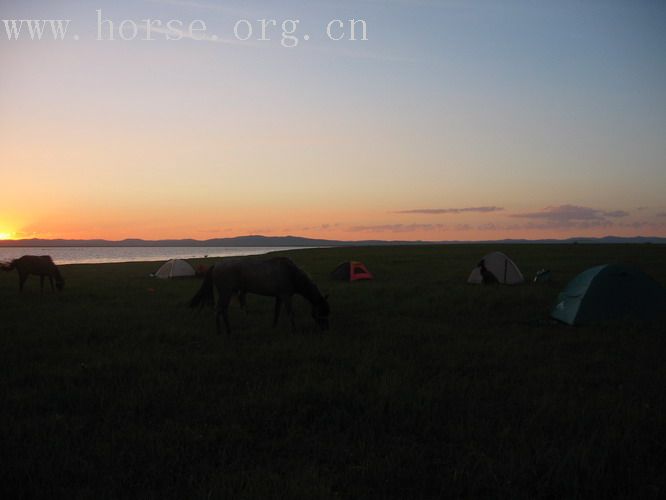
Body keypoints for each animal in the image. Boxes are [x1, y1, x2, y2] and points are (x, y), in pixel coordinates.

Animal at [188, 258, 328, 336]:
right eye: (322, 311)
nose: (325, 328)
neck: (291, 273)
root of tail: (216, 265)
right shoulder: (286, 296)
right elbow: (290, 313)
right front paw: (294, 330)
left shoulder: (279, 297)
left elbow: (276, 313)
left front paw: (274, 327)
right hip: (225, 292)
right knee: (219, 311)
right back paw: (220, 332)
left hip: (227, 293)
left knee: (224, 311)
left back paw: (228, 330)